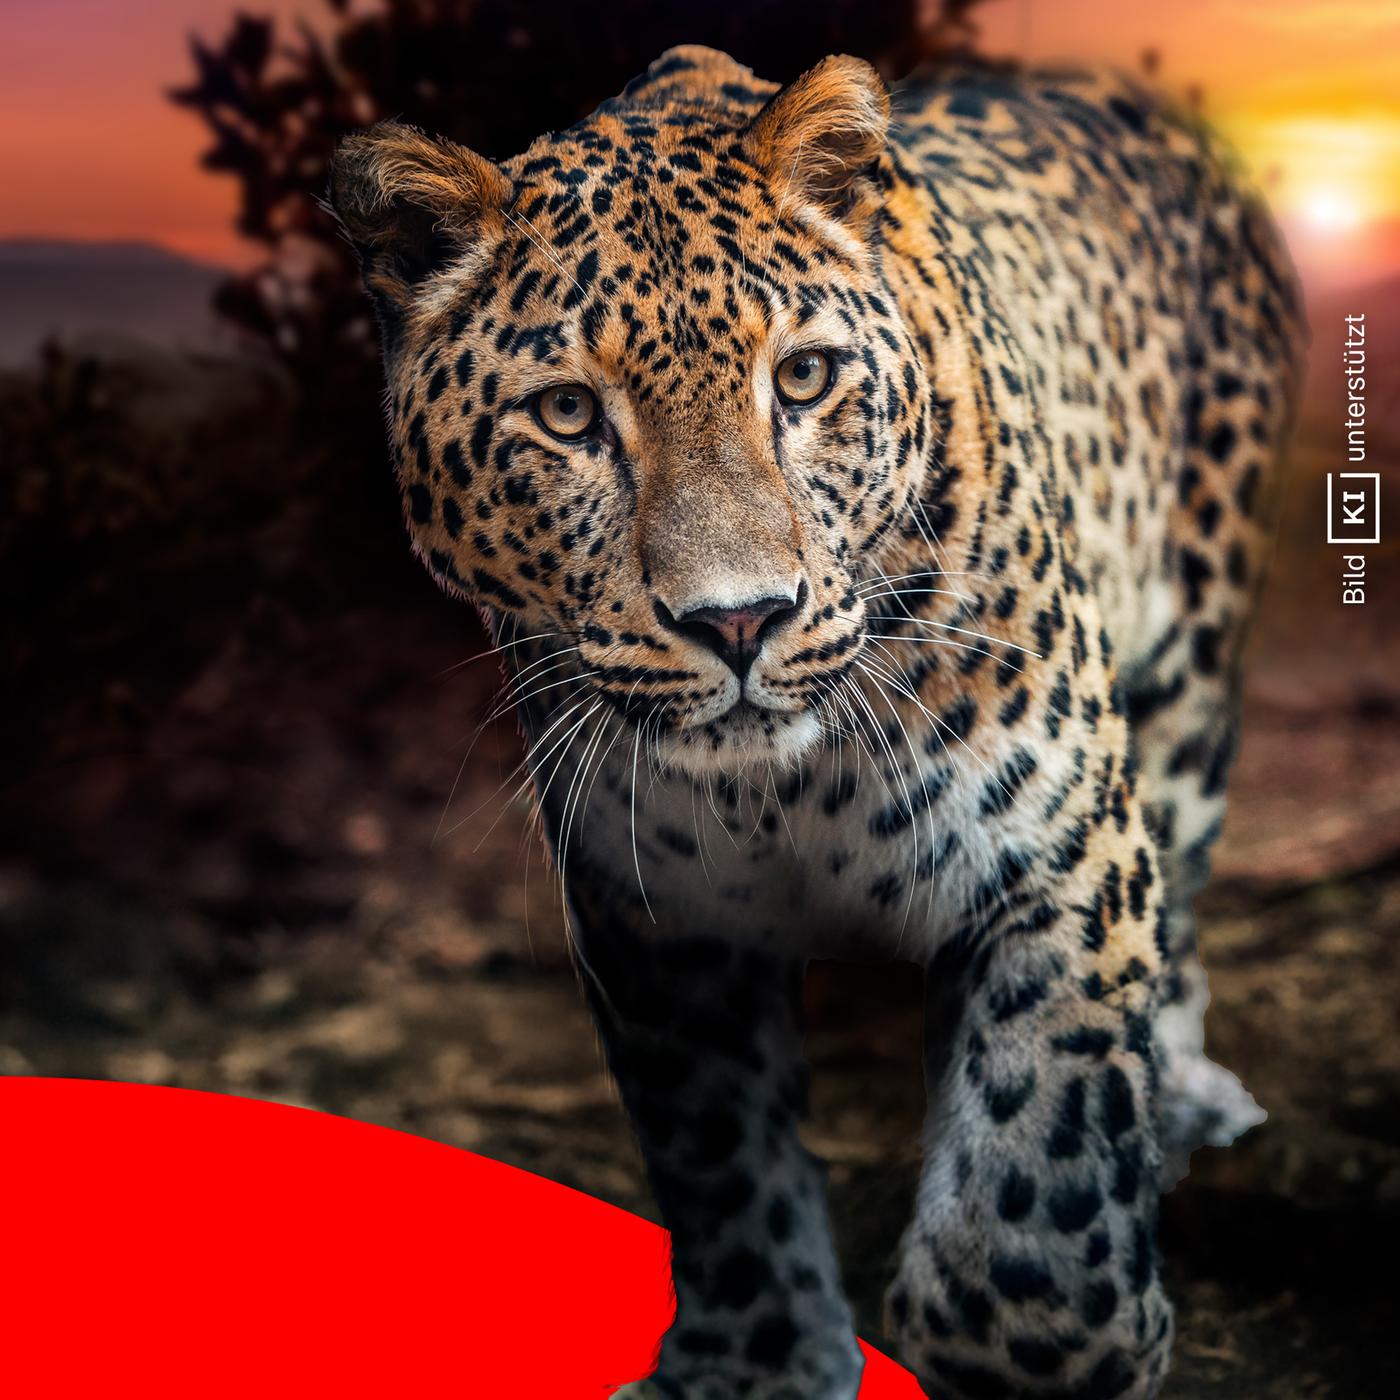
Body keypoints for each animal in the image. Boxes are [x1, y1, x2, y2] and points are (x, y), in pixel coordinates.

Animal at [329, 43, 1304, 1400]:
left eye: (801, 379)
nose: (738, 620)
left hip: (1191, 669)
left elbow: (1037, 1197)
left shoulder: (1057, 848)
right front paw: (753, 1360)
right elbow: (721, 1160)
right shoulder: (656, 917)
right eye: (568, 415)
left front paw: (1043, 1340)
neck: (782, 787)